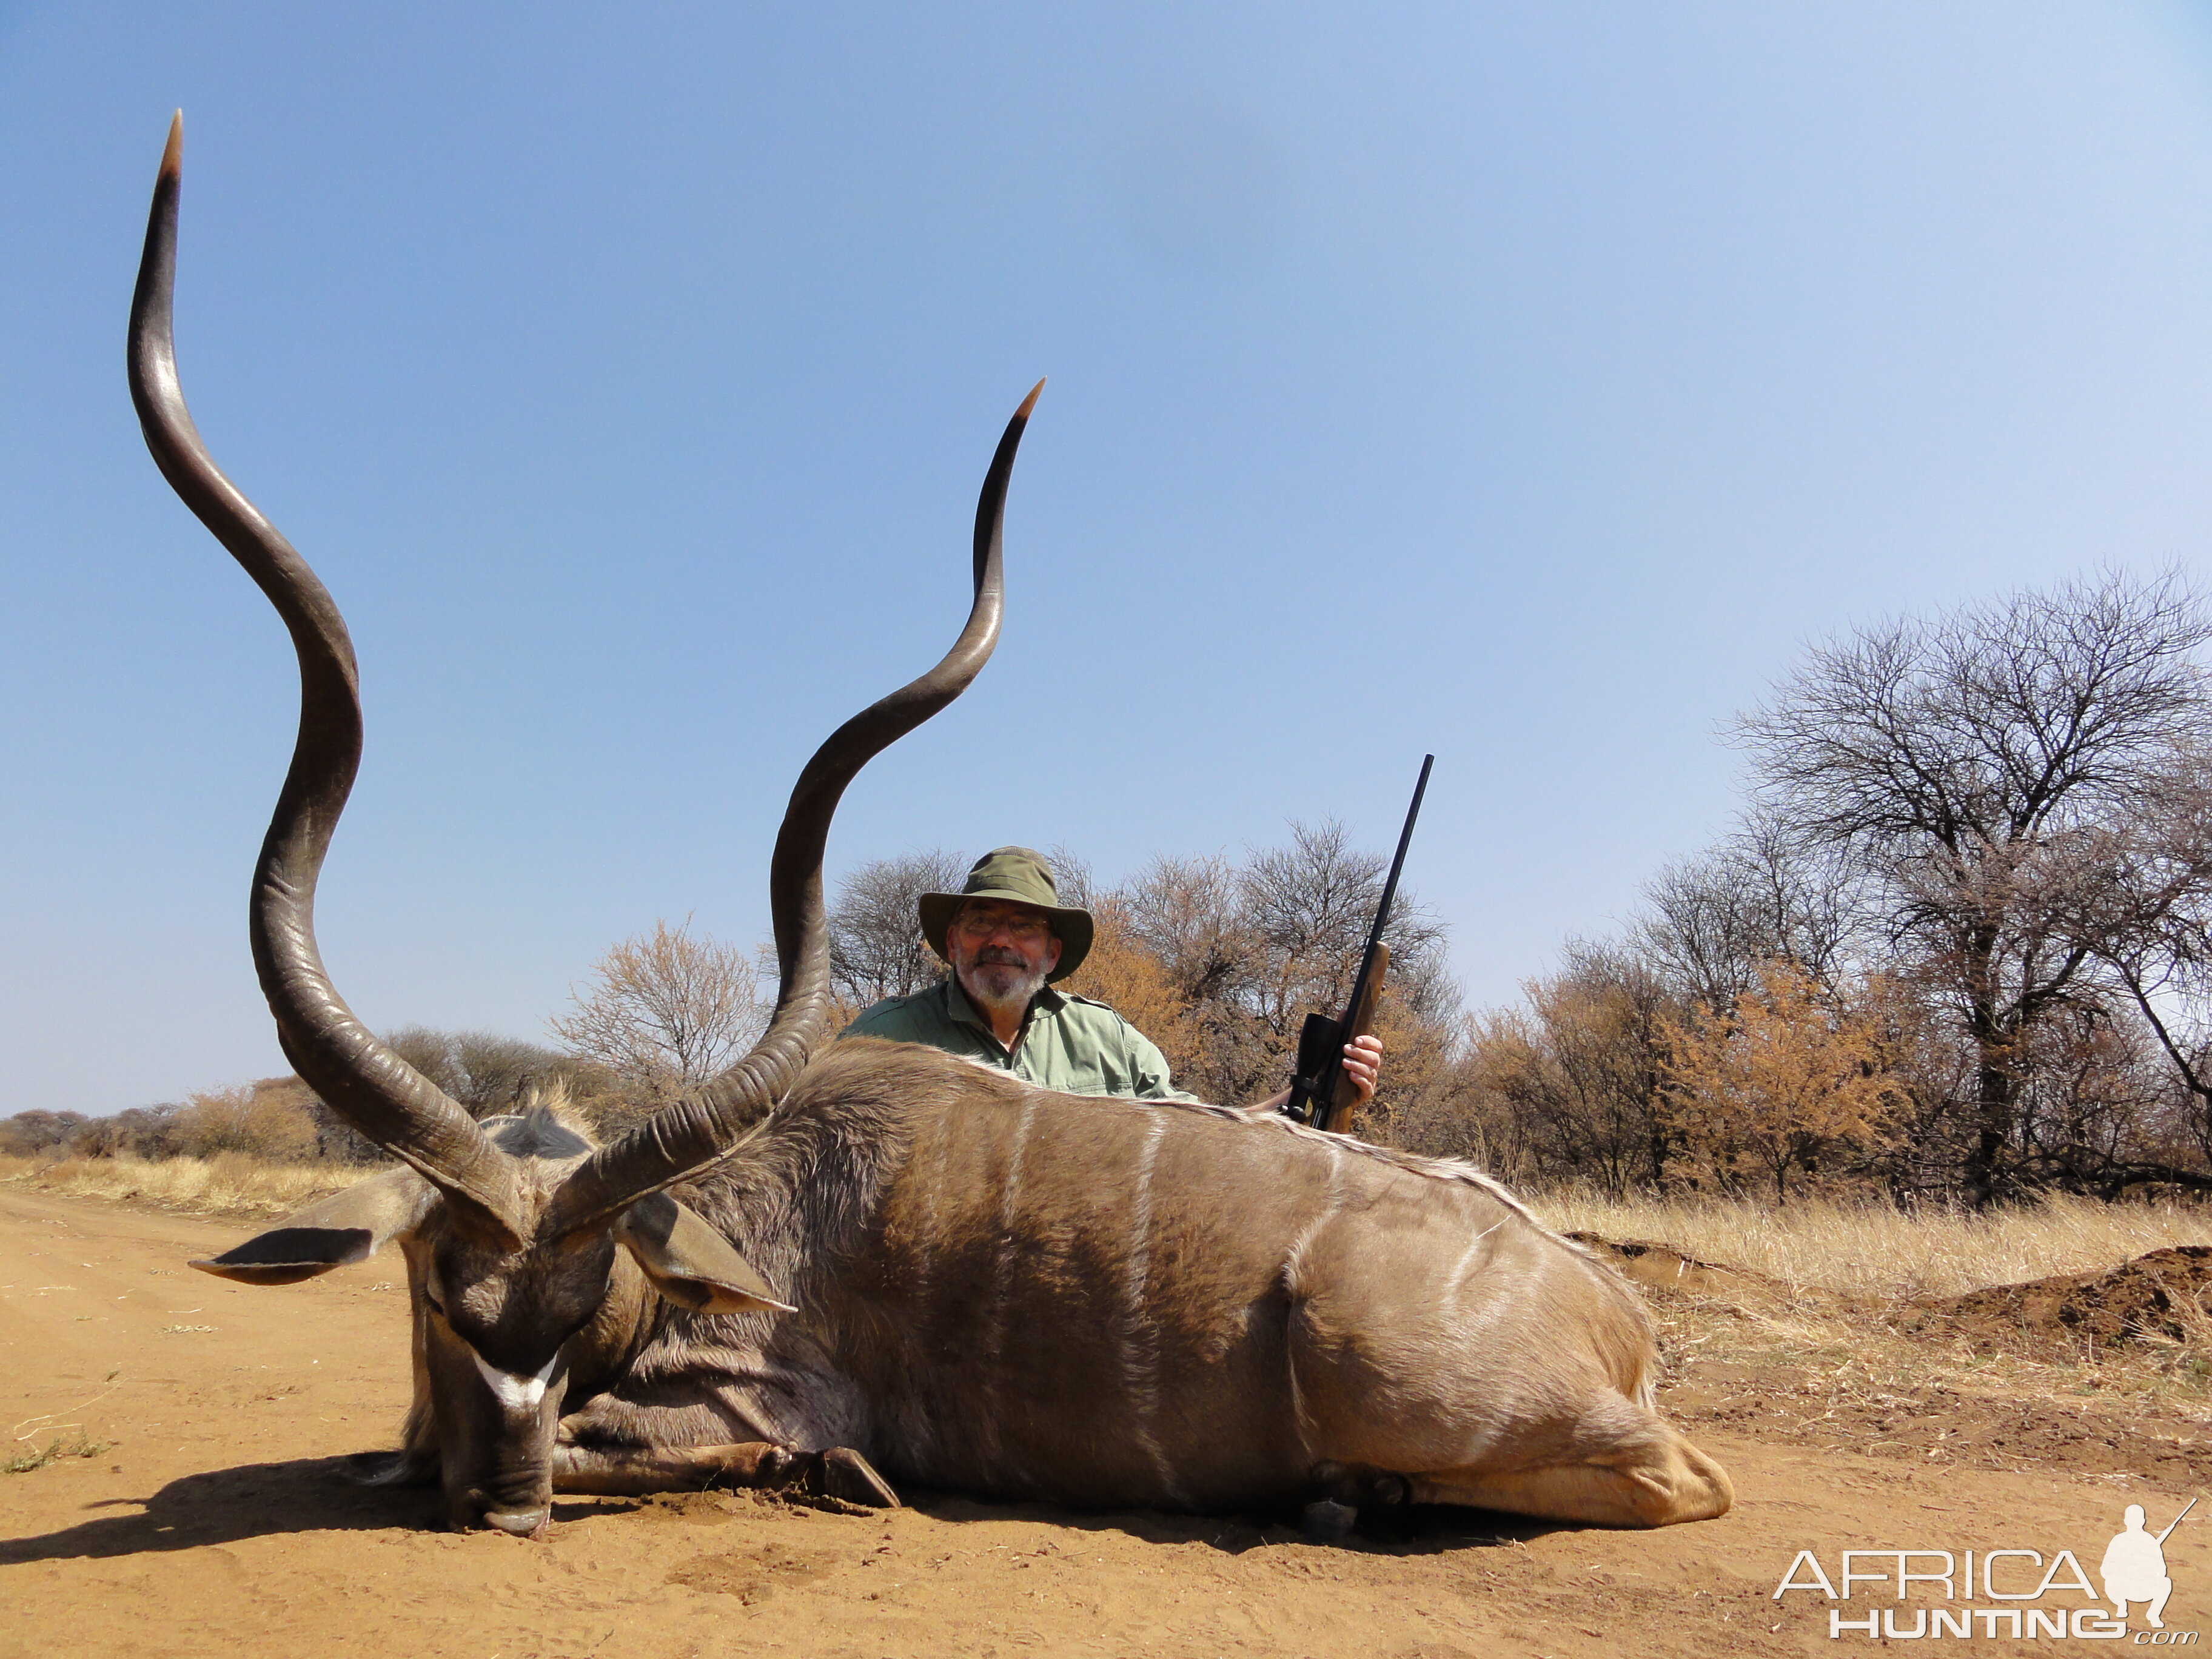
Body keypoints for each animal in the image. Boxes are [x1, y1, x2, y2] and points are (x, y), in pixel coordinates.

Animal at [133, 113, 1725, 1548]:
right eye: (433, 1288)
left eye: (584, 1303)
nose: (503, 1501)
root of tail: (1615, 1313)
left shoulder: (739, 1389)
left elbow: (693, 1443)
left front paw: (835, 1473)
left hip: (1428, 1387)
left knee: (1681, 1478)